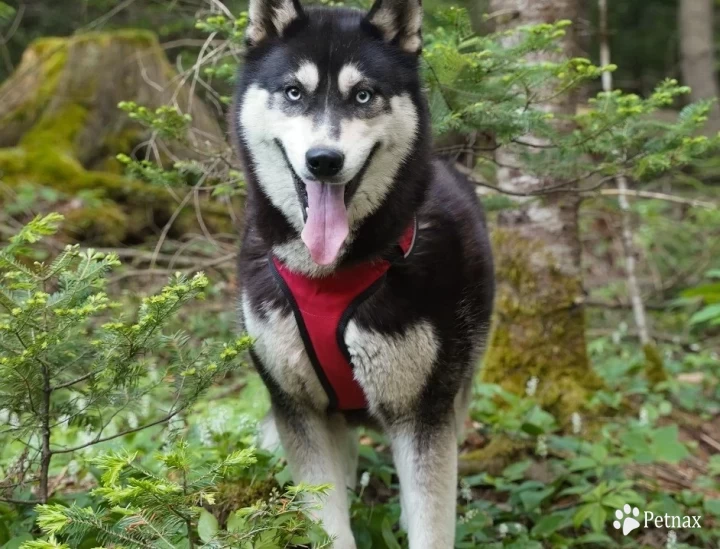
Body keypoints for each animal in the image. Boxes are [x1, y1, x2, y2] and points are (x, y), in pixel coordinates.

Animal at [231, 0, 496, 544]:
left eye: (363, 95)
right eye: (294, 91)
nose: (323, 161)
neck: (331, 274)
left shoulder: (422, 413)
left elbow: (430, 523)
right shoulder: (299, 410)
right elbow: (329, 523)